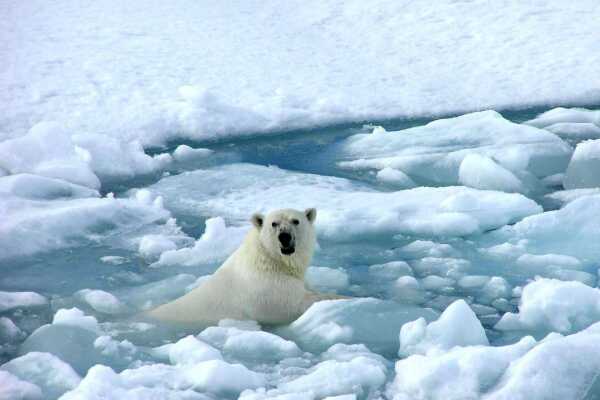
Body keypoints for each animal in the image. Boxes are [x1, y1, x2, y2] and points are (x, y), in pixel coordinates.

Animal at [145, 208, 344, 326]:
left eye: (296, 221)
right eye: (274, 223)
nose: (284, 236)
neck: (270, 260)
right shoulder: (266, 289)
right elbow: (296, 303)